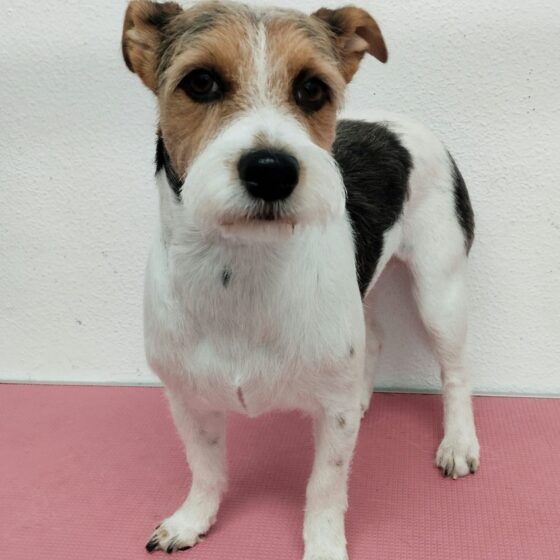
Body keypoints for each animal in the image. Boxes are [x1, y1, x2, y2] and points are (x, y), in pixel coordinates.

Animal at [122, 1, 480, 557]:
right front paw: (192, 519)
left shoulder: (331, 417)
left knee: (456, 370)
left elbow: (325, 487)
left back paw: (459, 441)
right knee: (375, 336)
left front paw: (324, 545)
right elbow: (206, 468)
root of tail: (403, 123)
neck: (241, 267)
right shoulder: (187, 399)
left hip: (439, 288)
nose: (271, 170)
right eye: (200, 82)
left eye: (312, 89)